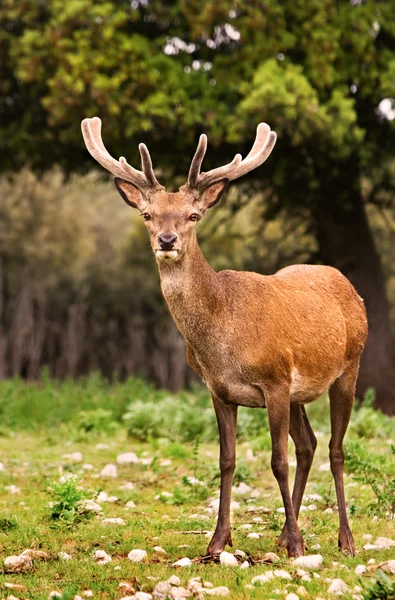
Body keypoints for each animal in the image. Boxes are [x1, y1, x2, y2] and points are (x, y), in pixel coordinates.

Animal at [81, 116, 368, 556]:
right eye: (147, 214)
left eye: (193, 215)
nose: (167, 240)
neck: (223, 340)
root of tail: (352, 289)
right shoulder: (218, 389)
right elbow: (227, 460)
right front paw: (217, 542)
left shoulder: (274, 380)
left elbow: (277, 461)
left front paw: (297, 546)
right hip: (301, 393)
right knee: (310, 445)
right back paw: (283, 533)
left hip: (349, 366)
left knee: (335, 450)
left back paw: (344, 540)